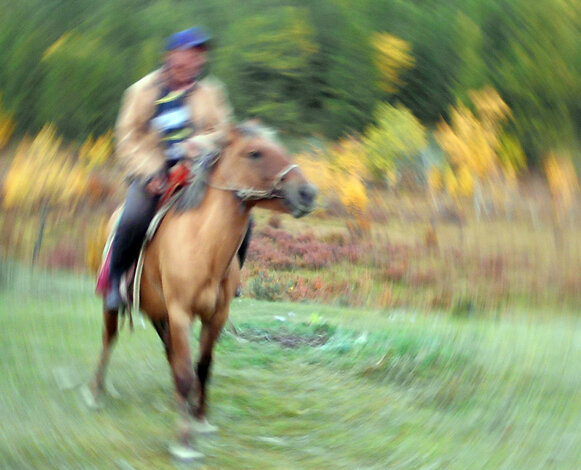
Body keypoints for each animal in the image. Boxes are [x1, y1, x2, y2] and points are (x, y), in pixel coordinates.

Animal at [87, 123, 318, 460]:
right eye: (254, 153)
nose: (308, 193)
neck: (203, 245)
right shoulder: (181, 313)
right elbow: (186, 373)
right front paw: (184, 442)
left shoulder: (215, 317)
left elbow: (202, 368)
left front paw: (199, 419)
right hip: (114, 305)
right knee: (108, 340)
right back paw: (95, 393)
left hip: (159, 313)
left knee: (169, 353)